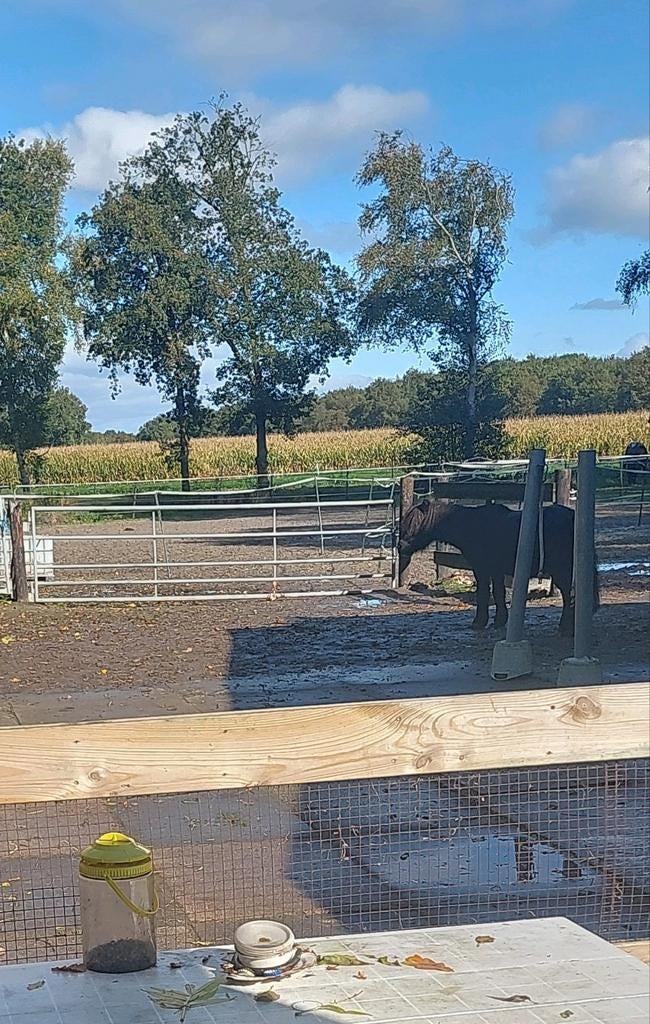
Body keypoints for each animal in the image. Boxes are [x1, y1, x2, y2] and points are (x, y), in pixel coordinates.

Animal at [399, 500, 599, 636]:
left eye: (414, 523)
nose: (400, 546)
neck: (472, 526)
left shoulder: (482, 569)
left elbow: (484, 594)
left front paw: (479, 622)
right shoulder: (495, 571)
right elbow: (498, 593)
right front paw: (500, 620)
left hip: (562, 570)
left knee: (567, 595)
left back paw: (565, 627)